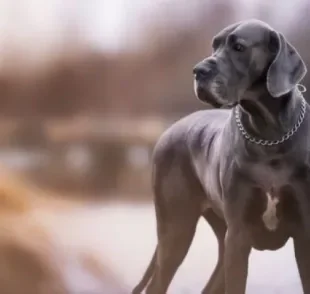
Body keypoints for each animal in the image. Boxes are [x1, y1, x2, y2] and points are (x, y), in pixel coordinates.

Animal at [133, 19, 310, 292]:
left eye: (239, 47)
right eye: (214, 46)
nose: (198, 71)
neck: (269, 135)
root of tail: (167, 131)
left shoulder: (304, 233)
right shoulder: (238, 236)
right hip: (177, 228)